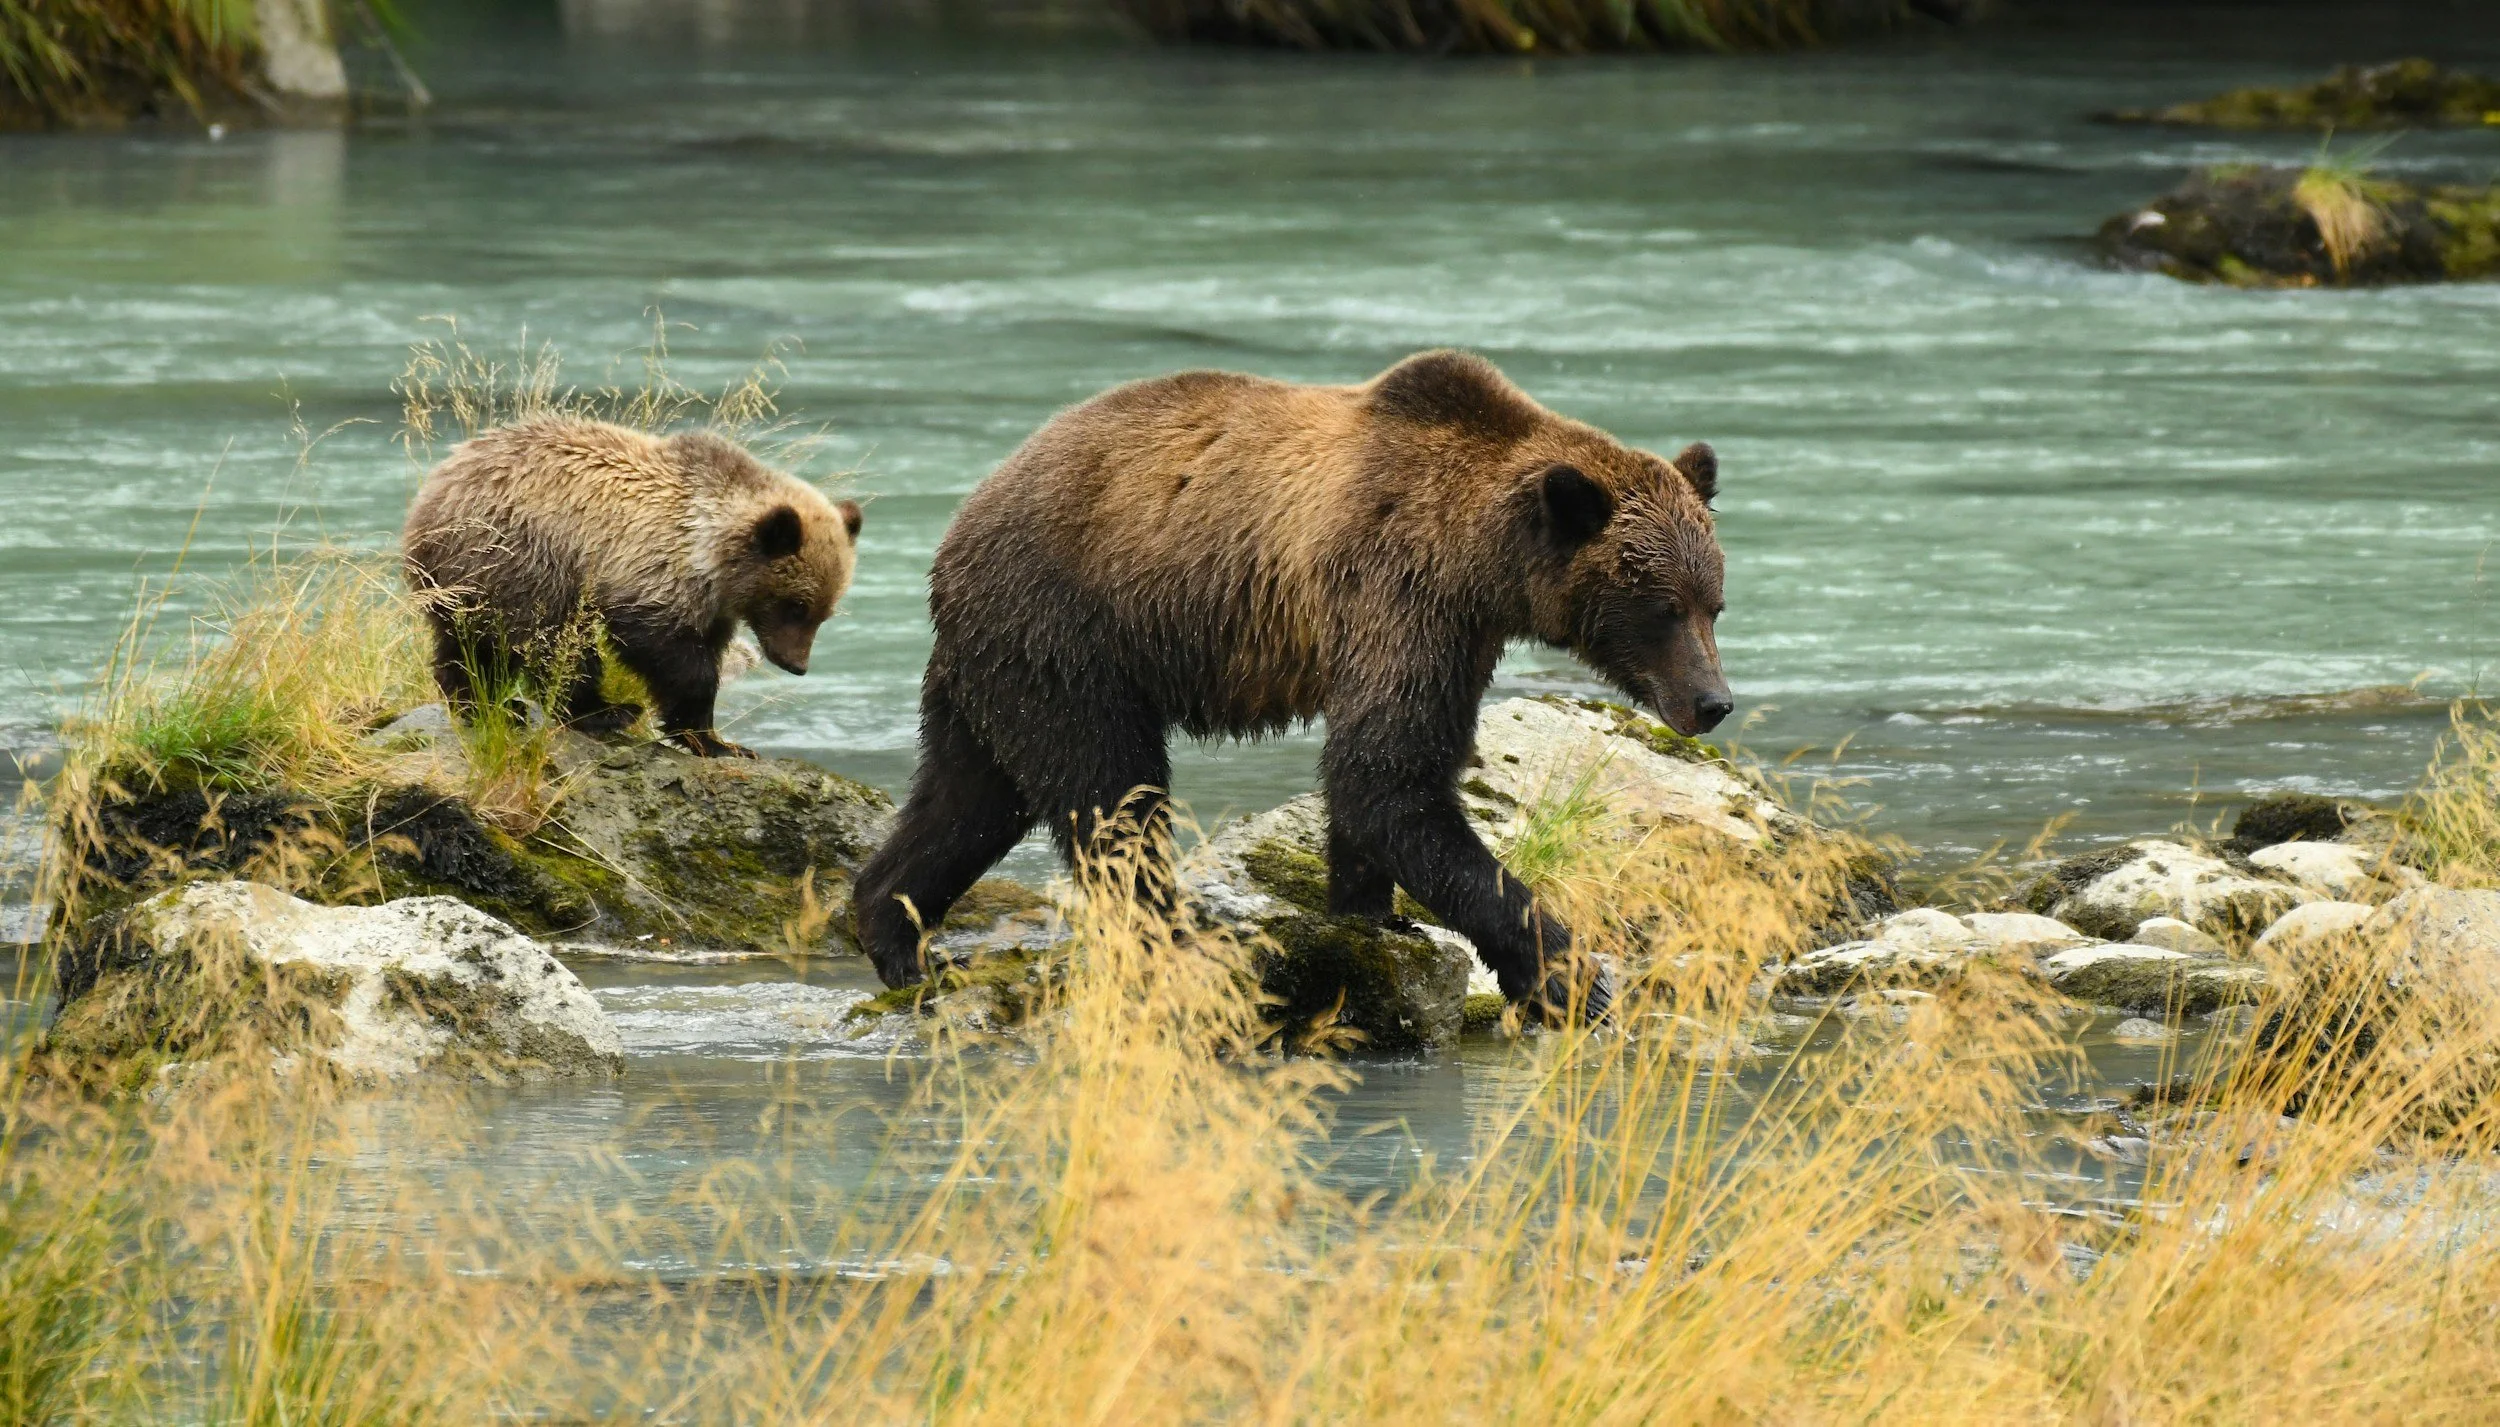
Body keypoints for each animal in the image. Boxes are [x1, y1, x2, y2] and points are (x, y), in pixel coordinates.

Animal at [402, 417, 862, 757]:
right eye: (796, 605)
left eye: (825, 611)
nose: (797, 664)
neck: (713, 557)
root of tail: (430, 496)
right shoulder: (650, 568)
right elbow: (667, 651)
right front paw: (710, 738)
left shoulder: (712, 605)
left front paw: (716, 739)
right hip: (520, 557)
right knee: (553, 640)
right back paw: (604, 711)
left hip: (470, 577)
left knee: (467, 643)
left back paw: (488, 704)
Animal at [851, 350, 1731, 1018]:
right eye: (1663, 607)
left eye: (1715, 602)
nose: (1714, 702)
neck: (1480, 557)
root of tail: (957, 531)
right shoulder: (1397, 588)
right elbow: (1389, 777)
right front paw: (1569, 975)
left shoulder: (1457, 634)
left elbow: (1386, 779)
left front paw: (1371, 911)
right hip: (1070, 631)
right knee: (1111, 795)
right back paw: (1175, 941)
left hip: (998, 666)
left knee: (969, 796)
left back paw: (901, 937)